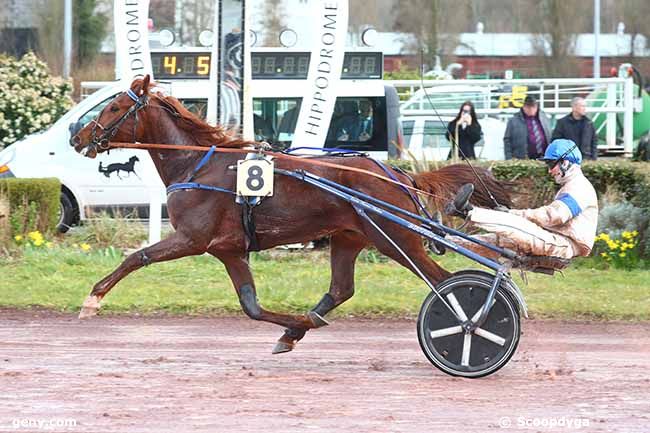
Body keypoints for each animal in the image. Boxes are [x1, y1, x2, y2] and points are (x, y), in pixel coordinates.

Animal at [69, 76, 506, 352]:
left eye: (116, 107)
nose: (77, 136)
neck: (196, 164)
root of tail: (397, 172)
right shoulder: (229, 250)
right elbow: (251, 306)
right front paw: (293, 328)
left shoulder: (193, 239)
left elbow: (136, 257)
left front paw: (93, 299)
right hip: (350, 238)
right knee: (341, 289)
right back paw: (302, 327)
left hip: (395, 238)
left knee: (444, 282)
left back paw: (471, 324)